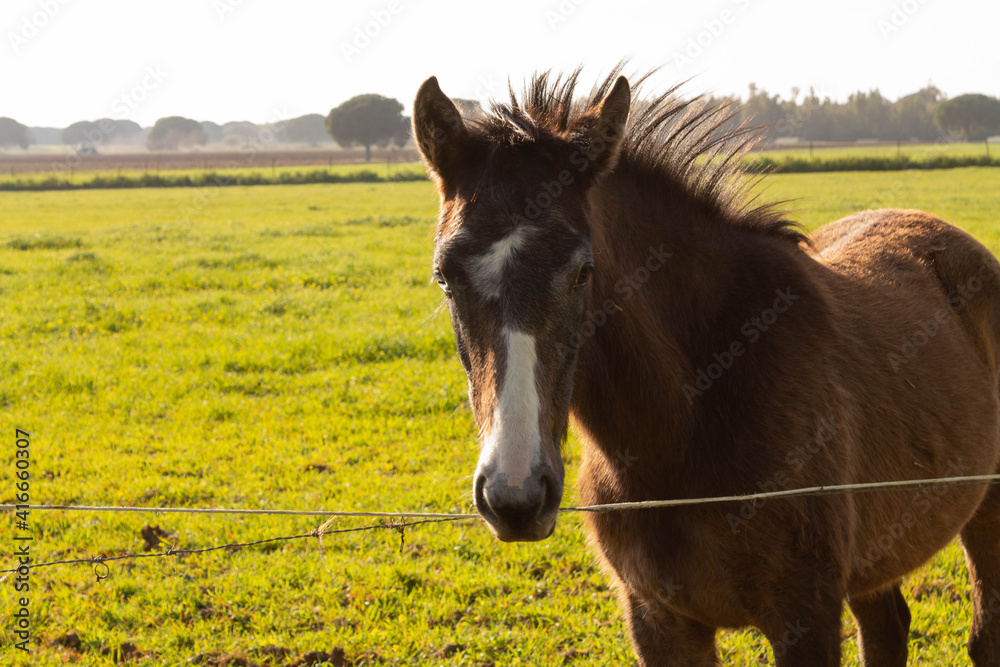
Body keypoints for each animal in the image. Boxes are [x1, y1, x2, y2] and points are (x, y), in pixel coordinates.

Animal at [411, 68, 1000, 666]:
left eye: (582, 272)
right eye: (444, 276)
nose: (516, 495)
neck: (681, 433)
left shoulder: (806, 615)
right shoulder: (658, 619)